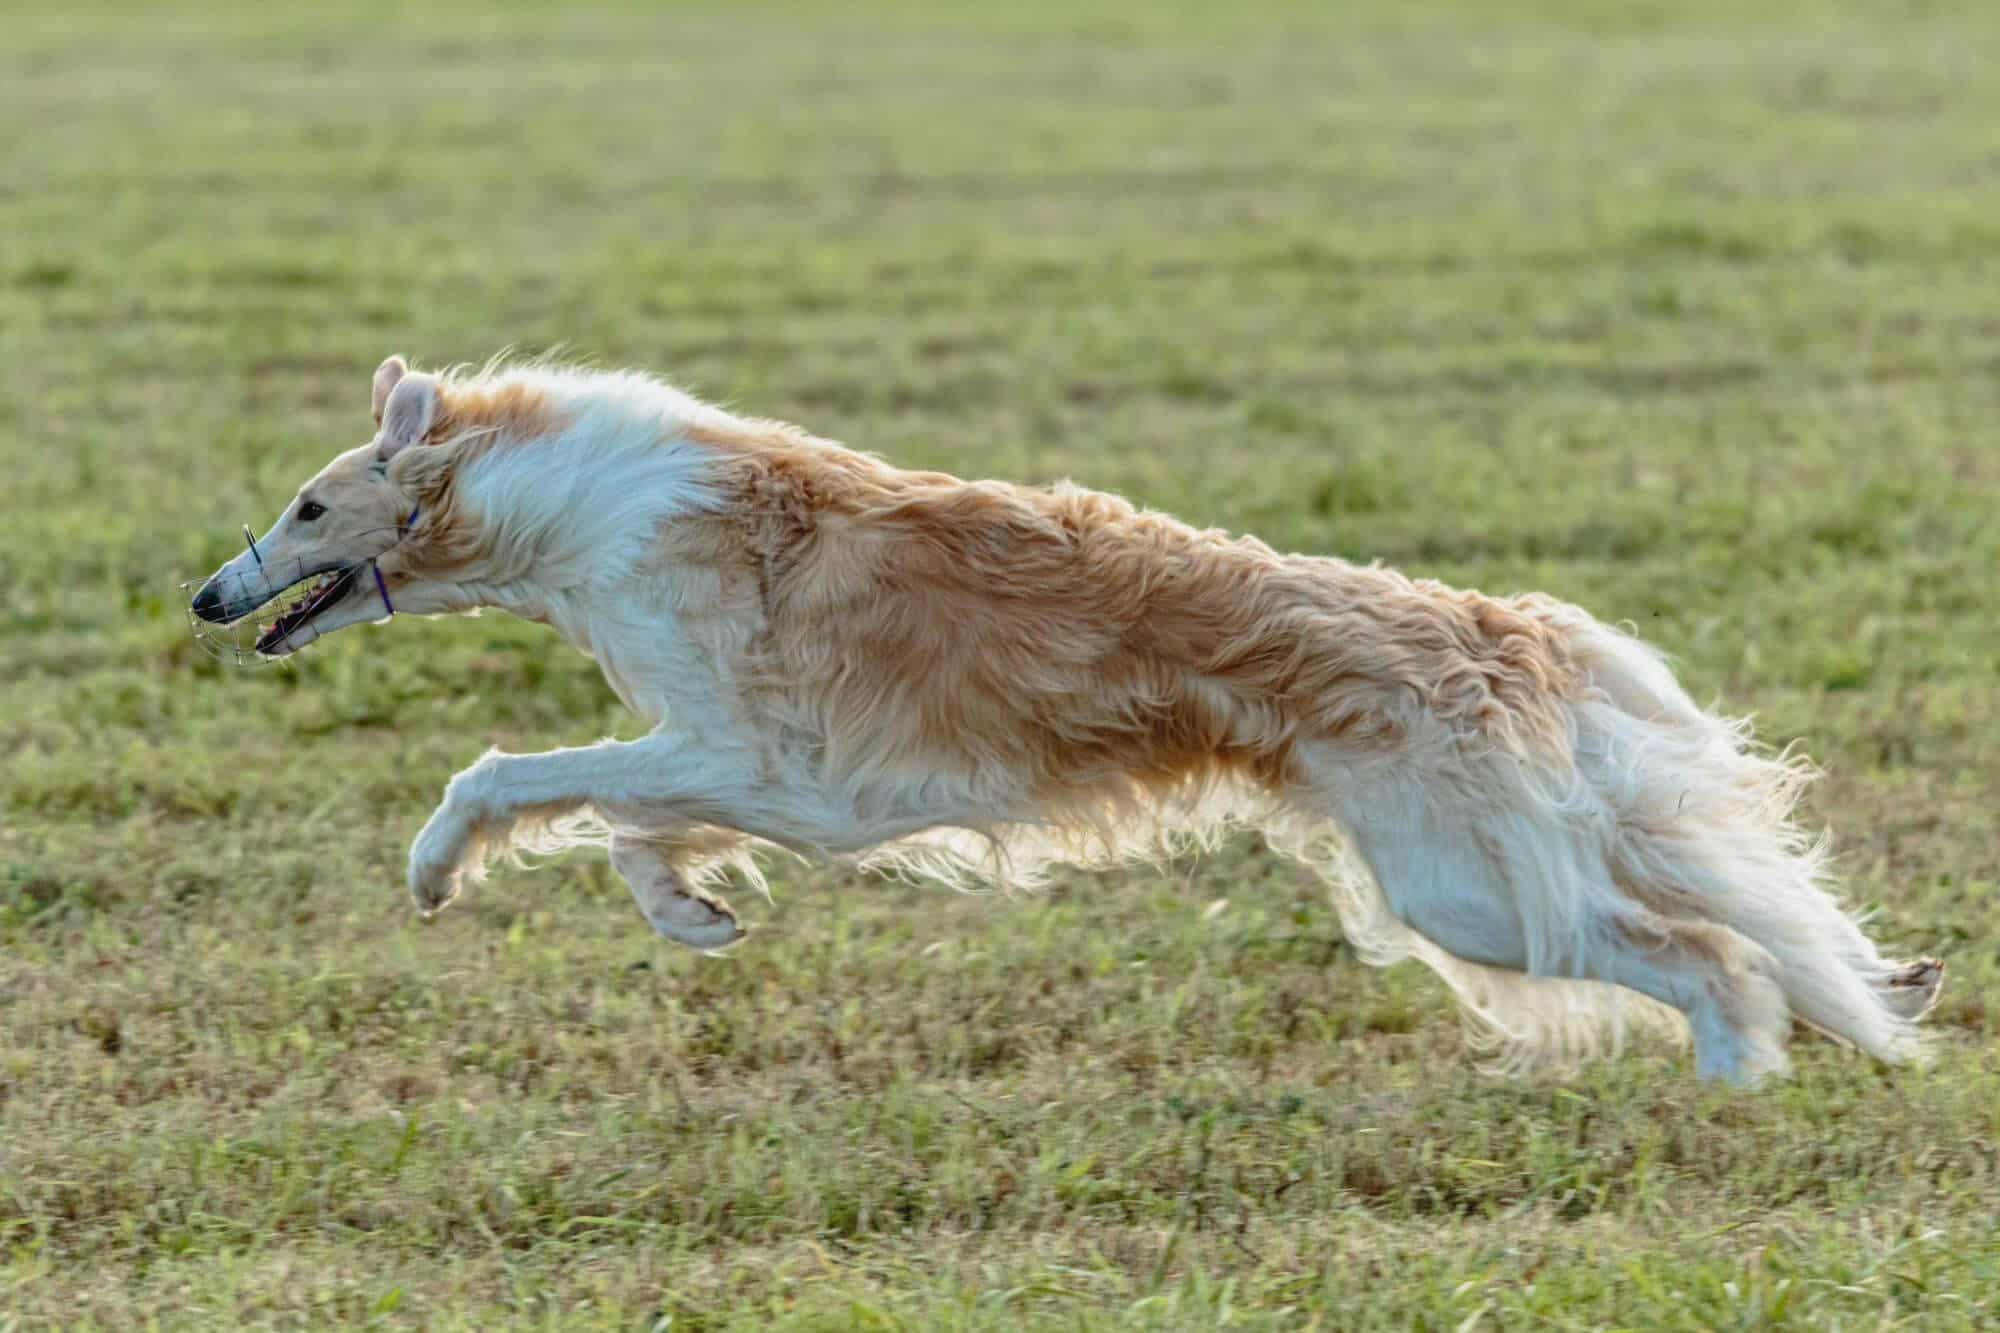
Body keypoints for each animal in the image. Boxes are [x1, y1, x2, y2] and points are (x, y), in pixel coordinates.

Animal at [195, 352, 1944, 1080]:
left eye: (306, 506)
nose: (209, 597)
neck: (578, 501)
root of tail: (1506, 626)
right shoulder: (737, 767)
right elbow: (625, 820)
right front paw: (691, 916)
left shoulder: (758, 759)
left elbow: (511, 772)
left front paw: (436, 872)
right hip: (1526, 858)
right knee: (1745, 927)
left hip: (1471, 890)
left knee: (1711, 960)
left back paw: (1739, 1082)